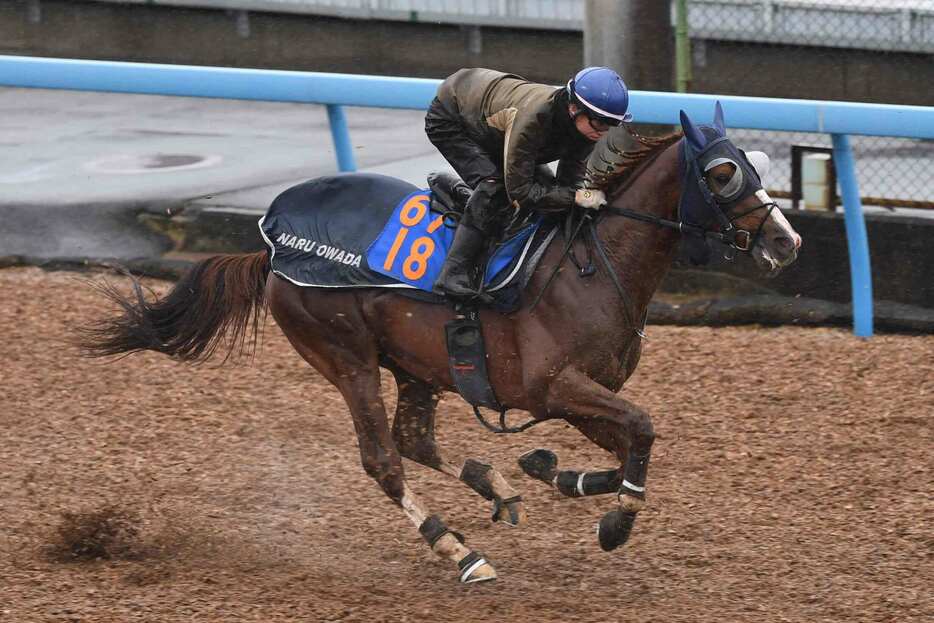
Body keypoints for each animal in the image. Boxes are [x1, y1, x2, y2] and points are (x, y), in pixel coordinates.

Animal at [82, 103, 804, 584]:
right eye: (722, 171)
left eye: (755, 162)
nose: (786, 241)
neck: (590, 266)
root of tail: (272, 241)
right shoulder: (553, 385)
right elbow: (645, 428)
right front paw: (615, 521)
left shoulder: (580, 394)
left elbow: (630, 440)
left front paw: (551, 470)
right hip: (347, 358)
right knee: (383, 459)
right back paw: (459, 550)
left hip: (416, 365)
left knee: (413, 439)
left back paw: (495, 488)